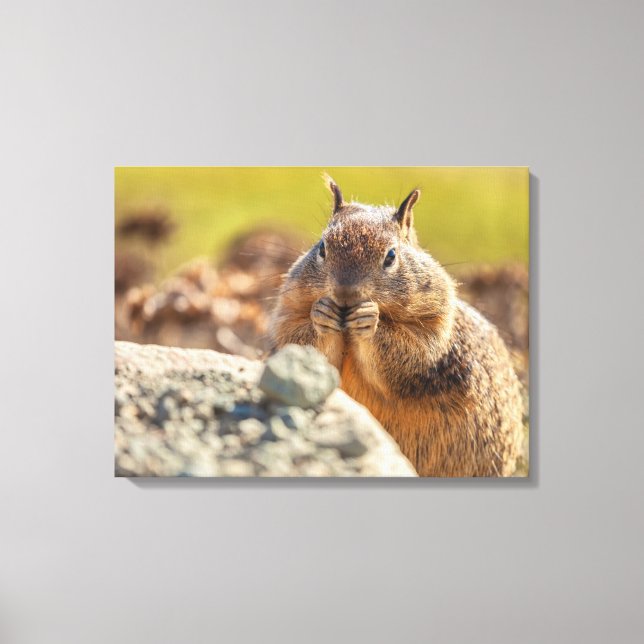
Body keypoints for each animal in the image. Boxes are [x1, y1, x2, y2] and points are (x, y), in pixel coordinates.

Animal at [269, 176, 524, 477]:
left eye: (391, 256)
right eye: (322, 248)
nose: (345, 293)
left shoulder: (432, 332)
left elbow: (408, 353)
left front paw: (370, 318)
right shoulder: (288, 314)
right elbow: (301, 345)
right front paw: (322, 315)